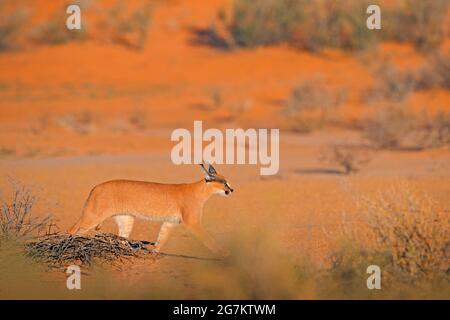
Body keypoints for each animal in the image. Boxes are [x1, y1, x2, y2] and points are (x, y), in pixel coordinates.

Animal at [69, 164, 236, 256]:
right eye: (224, 183)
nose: (232, 189)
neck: (201, 191)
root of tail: (96, 186)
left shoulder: (170, 221)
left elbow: (162, 237)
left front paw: (154, 252)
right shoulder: (193, 222)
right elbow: (208, 239)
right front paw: (224, 253)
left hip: (126, 218)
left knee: (121, 237)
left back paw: (127, 251)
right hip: (94, 215)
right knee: (73, 229)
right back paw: (68, 246)